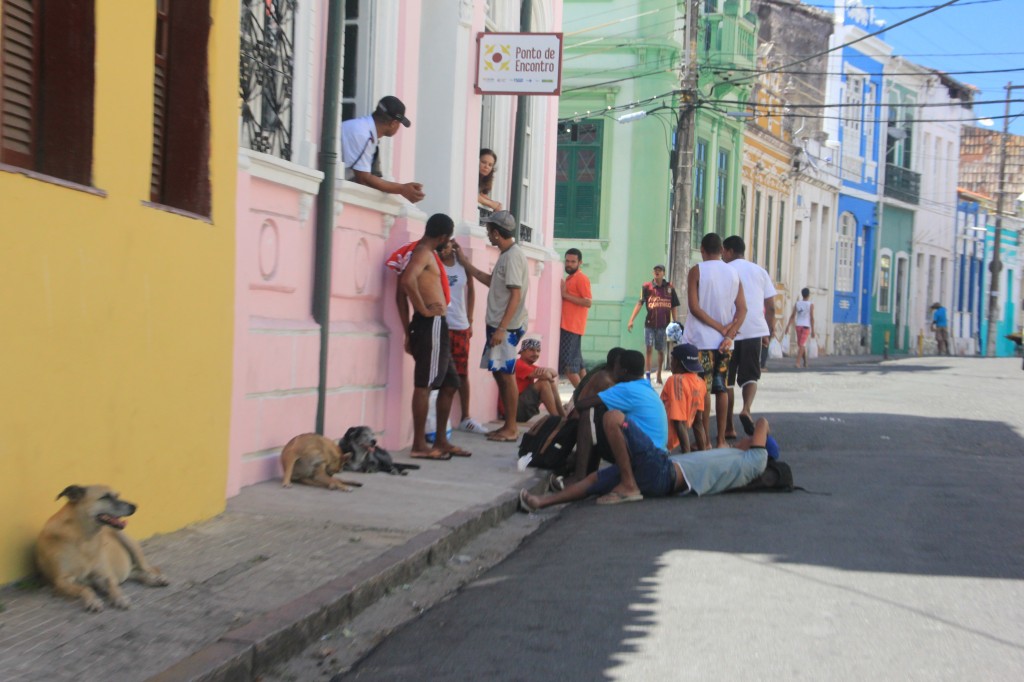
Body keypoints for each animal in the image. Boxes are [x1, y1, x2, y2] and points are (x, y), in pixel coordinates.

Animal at [37, 483, 169, 610]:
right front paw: (93, 601)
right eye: (105, 497)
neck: (83, 538)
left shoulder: (104, 574)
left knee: (150, 569)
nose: (134, 506)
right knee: (135, 573)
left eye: (117, 495)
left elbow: (112, 585)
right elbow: (85, 588)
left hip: (129, 544)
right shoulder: (61, 581)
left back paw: (157, 578)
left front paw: (120, 598)